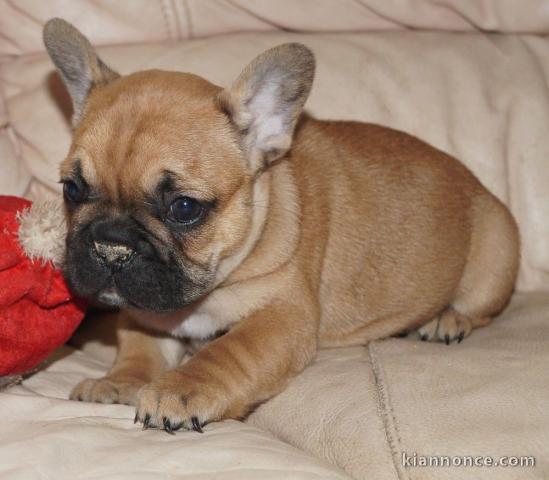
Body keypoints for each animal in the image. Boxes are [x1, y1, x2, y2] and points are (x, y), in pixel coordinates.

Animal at [44, 17, 520, 432]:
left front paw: (181, 388)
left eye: (184, 207)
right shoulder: (146, 310)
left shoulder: (283, 316)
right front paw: (118, 381)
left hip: (494, 254)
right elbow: (138, 346)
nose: (111, 245)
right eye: (72, 189)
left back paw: (447, 320)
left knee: (481, 307)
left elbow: (229, 352)